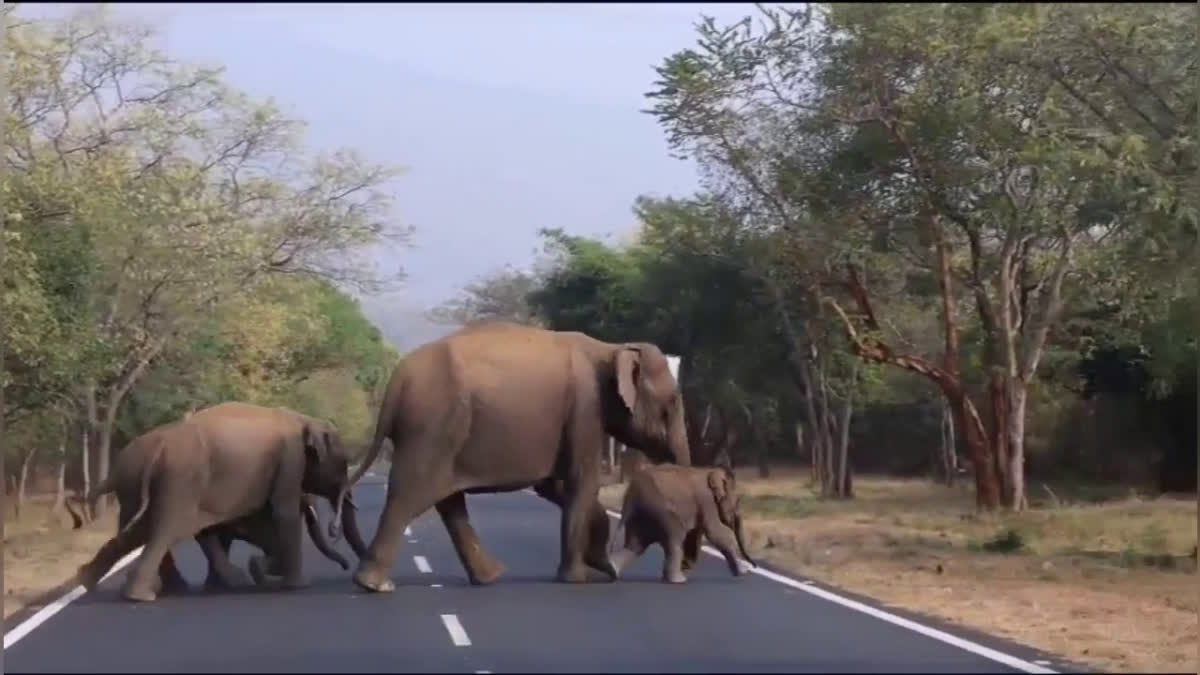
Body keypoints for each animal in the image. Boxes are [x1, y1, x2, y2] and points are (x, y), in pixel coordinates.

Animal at [66, 398, 360, 598]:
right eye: (343, 463)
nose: (347, 568)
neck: (305, 418)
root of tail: (159, 448)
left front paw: (253, 573)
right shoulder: (290, 458)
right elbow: (282, 513)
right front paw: (295, 585)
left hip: (147, 487)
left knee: (138, 531)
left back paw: (89, 581)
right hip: (179, 482)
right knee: (165, 530)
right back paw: (142, 595)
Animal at [333, 319, 696, 588]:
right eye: (672, 403)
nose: (686, 570)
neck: (611, 347)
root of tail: (396, 382)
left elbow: (555, 486)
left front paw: (600, 565)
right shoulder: (585, 408)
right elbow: (580, 481)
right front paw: (579, 578)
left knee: (447, 501)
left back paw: (489, 577)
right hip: (432, 427)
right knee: (410, 495)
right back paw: (374, 585)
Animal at [609, 458, 758, 581]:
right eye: (736, 504)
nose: (754, 566)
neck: (710, 470)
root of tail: (630, 497)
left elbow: (697, 533)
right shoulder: (707, 501)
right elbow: (715, 532)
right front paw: (742, 572)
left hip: (641, 516)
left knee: (635, 546)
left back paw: (613, 570)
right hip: (658, 510)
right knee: (675, 536)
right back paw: (678, 580)